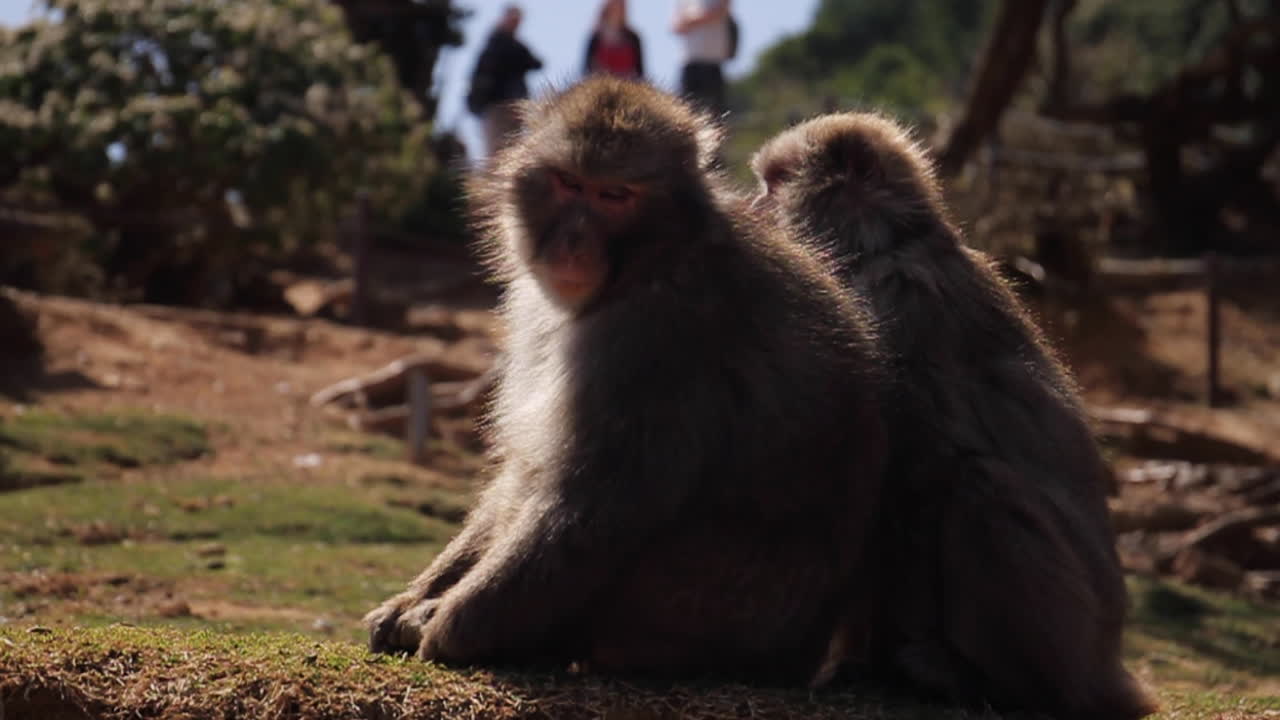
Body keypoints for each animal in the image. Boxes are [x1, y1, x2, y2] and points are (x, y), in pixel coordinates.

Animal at [364, 77, 888, 684]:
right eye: (570, 184)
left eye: (614, 196)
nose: (572, 242)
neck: (648, 261)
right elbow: (526, 470)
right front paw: (413, 600)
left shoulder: (657, 333)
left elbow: (603, 497)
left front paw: (452, 627)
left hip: (696, 612)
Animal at [751, 113, 1157, 719]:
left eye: (775, 183)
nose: (755, 207)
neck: (880, 245)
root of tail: (1106, 670)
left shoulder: (899, 306)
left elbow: (921, 474)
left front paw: (882, 663)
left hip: (1074, 638)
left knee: (980, 489)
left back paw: (1001, 685)